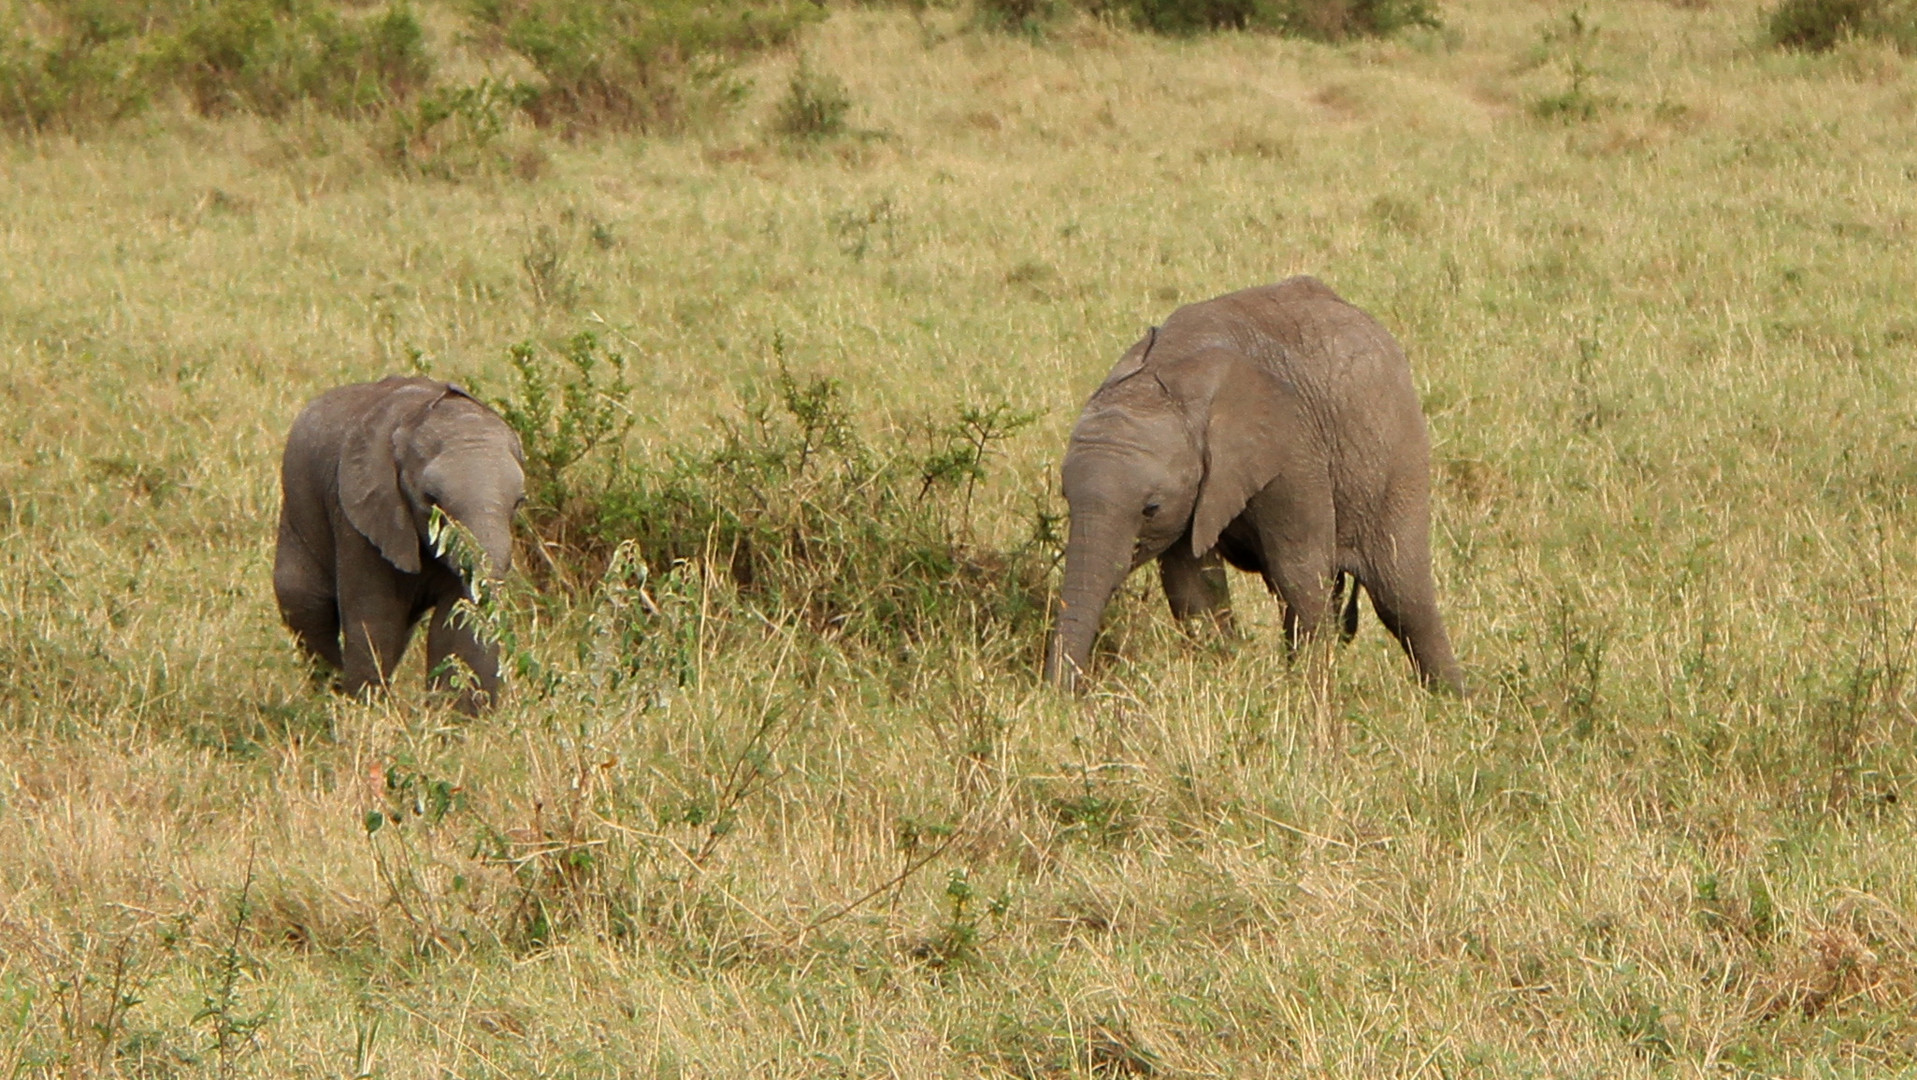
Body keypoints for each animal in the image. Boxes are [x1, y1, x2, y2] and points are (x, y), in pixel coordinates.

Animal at [274, 375, 529, 713]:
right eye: (431, 499)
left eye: (519, 502)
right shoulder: (359, 517)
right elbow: (377, 619)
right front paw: (368, 713)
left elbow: (455, 624)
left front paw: (458, 720)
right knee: (305, 605)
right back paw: (331, 694)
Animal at [1042, 278, 1456, 698]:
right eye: (1066, 500)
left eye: (1150, 509)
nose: (1062, 696)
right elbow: (1192, 586)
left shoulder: (1293, 453)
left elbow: (1299, 574)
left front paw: (1308, 698)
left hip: (1398, 454)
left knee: (1400, 595)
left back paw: (1452, 700)